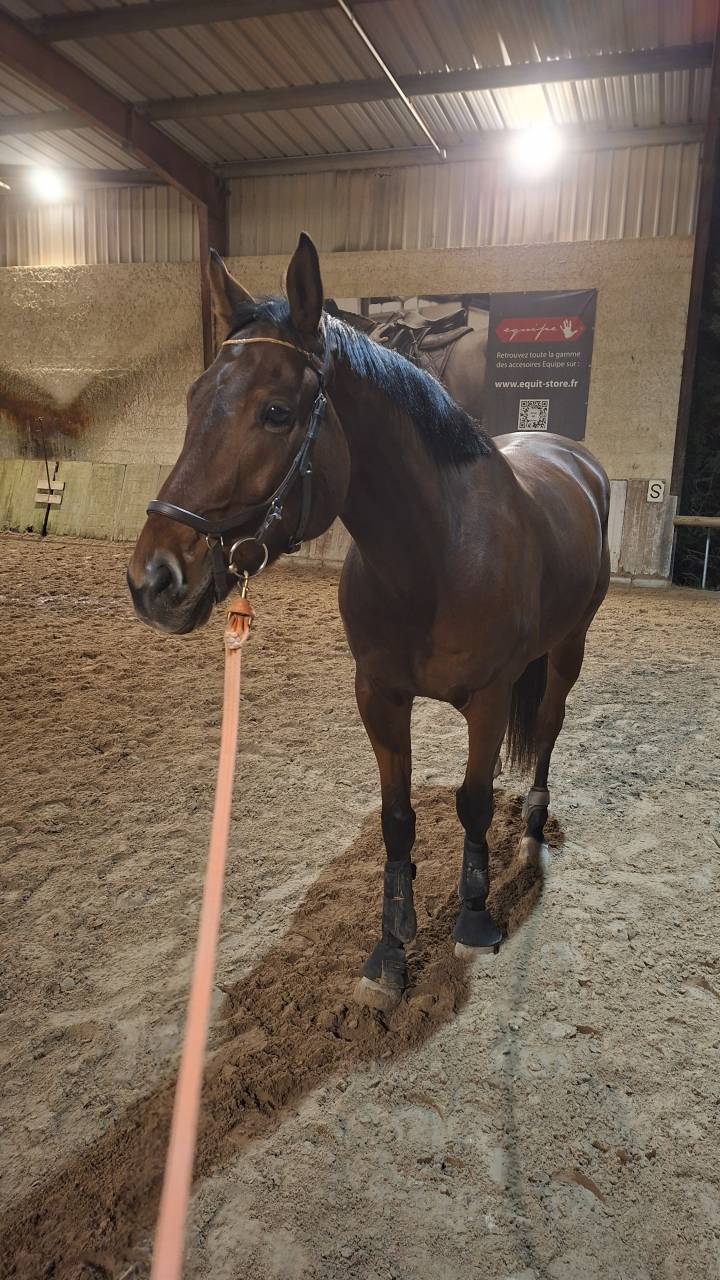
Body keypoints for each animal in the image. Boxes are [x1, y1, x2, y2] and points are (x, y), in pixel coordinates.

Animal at [128, 233, 610, 1011]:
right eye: (194, 397)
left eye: (276, 411)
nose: (154, 580)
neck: (436, 557)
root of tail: (571, 457)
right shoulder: (378, 697)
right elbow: (397, 819)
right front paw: (391, 946)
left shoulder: (489, 699)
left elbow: (474, 803)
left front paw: (473, 916)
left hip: (568, 649)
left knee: (547, 728)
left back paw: (534, 821)